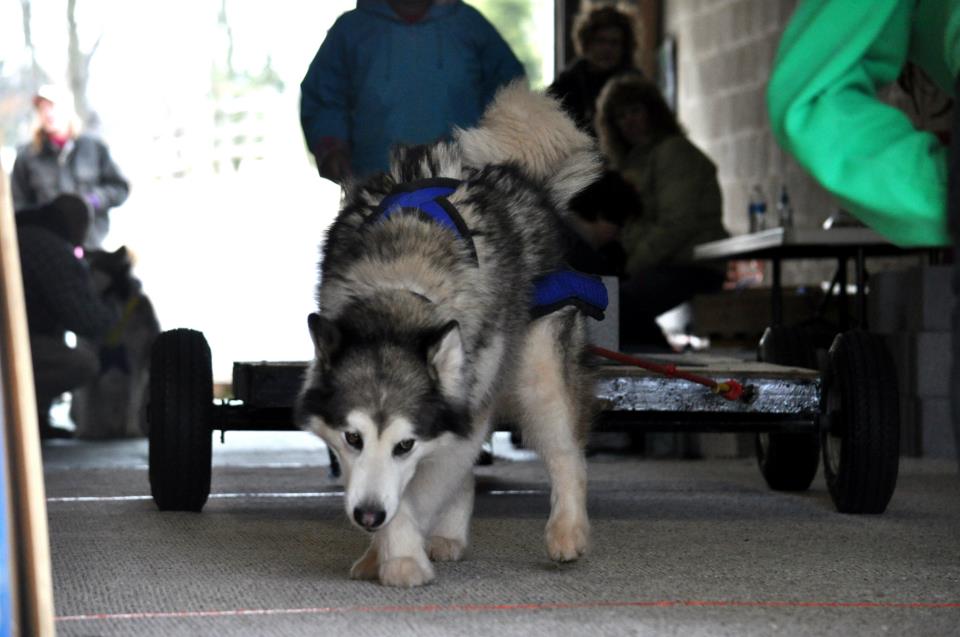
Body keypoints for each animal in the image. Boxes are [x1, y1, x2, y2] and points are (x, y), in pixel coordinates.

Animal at [298, 82, 600, 588]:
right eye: (352, 438)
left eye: (404, 445)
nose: (367, 517)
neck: (402, 290)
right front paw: (385, 551)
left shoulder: (458, 416)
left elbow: (419, 491)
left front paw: (400, 557)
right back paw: (446, 535)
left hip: (537, 372)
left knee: (565, 452)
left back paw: (568, 531)